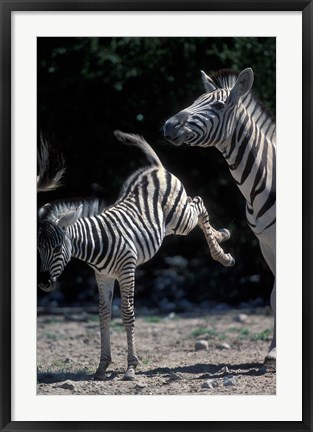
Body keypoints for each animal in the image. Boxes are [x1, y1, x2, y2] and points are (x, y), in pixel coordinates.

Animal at [37, 132, 234, 382]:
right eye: (38, 249)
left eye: (57, 248)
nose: (43, 283)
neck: (96, 244)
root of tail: (155, 168)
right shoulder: (103, 277)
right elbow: (103, 315)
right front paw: (102, 367)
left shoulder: (126, 270)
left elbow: (127, 313)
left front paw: (131, 367)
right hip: (169, 225)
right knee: (195, 204)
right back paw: (222, 236)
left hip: (180, 219)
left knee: (198, 203)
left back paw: (222, 251)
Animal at [163, 69, 276, 366]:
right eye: (195, 100)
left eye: (219, 106)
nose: (168, 125)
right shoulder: (266, 243)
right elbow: (275, 297)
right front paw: (273, 352)